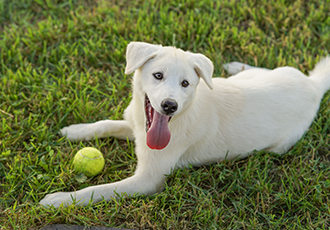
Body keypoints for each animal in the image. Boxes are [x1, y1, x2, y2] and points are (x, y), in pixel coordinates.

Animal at [40, 41, 330, 208]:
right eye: (158, 75)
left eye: (185, 84)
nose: (170, 105)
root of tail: (313, 86)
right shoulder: (136, 127)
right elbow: (105, 124)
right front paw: (74, 131)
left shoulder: (147, 180)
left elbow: (97, 191)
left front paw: (60, 199)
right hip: (264, 75)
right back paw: (235, 65)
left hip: (281, 146)